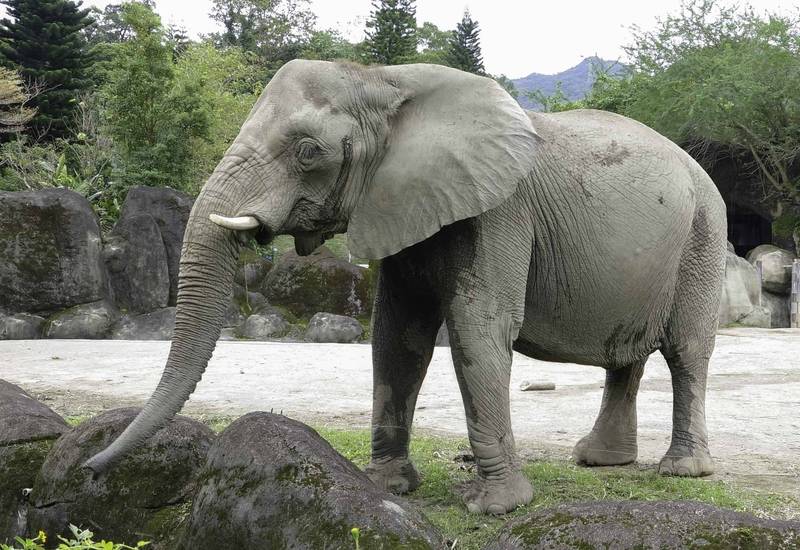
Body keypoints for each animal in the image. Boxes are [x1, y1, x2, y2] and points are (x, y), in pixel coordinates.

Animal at [84, 60, 728, 516]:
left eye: (308, 151)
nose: (91, 471)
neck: (385, 81)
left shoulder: (498, 209)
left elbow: (478, 326)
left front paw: (494, 507)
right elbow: (399, 334)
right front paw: (385, 487)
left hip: (704, 237)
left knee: (686, 351)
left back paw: (681, 471)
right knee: (628, 355)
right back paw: (599, 462)